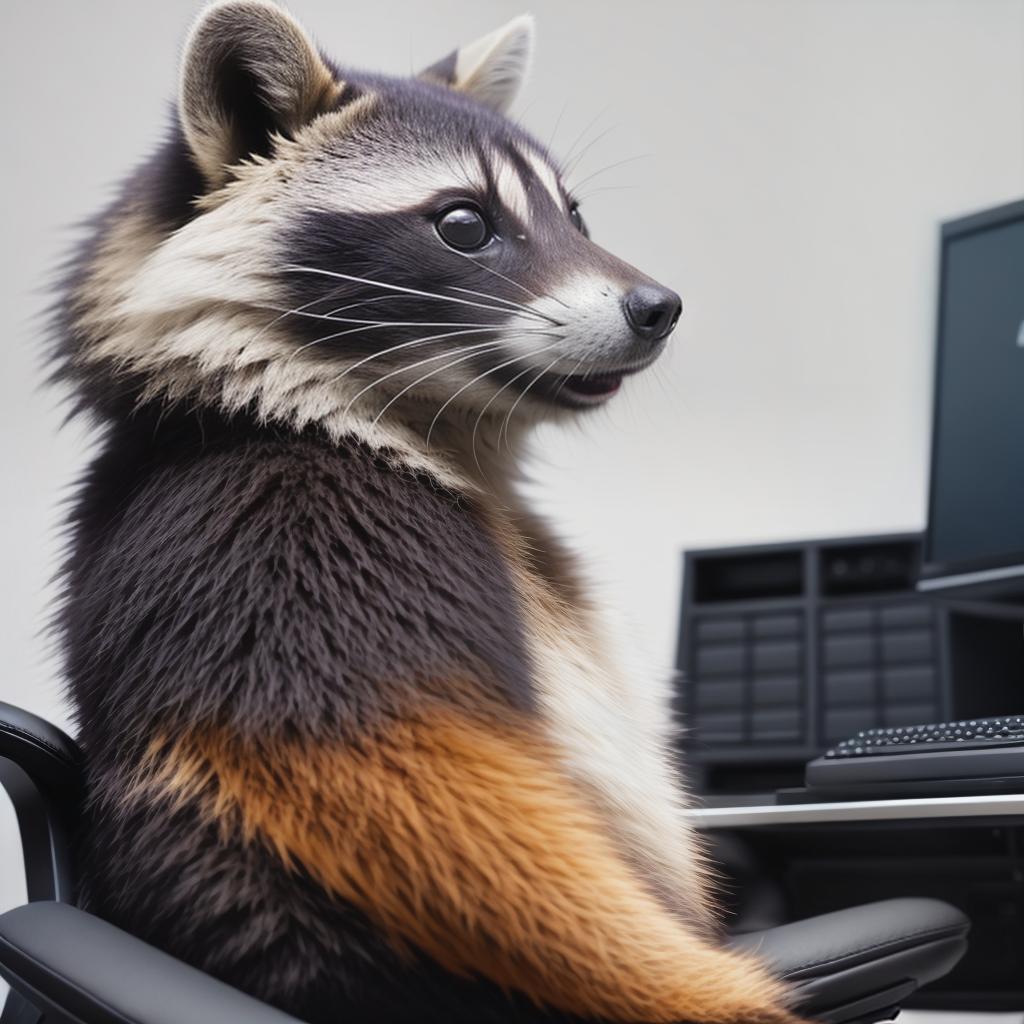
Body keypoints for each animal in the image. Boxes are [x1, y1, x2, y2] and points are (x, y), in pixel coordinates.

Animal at [56, 2, 802, 1024]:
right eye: (463, 223)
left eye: (574, 215)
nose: (661, 307)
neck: (271, 403)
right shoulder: (299, 538)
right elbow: (446, 806)